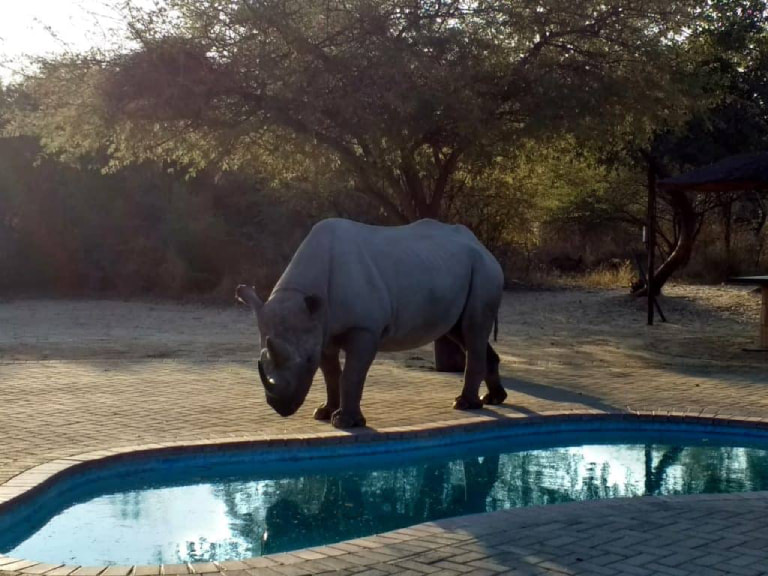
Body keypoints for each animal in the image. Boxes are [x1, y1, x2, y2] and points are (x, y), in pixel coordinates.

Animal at [236, 218, 506, 428]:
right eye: (262, 361)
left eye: (308, 361)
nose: (280, 407)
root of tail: (481, 246)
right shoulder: (322, 329)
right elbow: (331, 373)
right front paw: (323, 412)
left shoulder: (364, 329)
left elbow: (351, 374)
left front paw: (344, 422)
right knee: (461, 332)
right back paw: (493, 399)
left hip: (483, 270)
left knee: (472, 329)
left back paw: (465, 405)